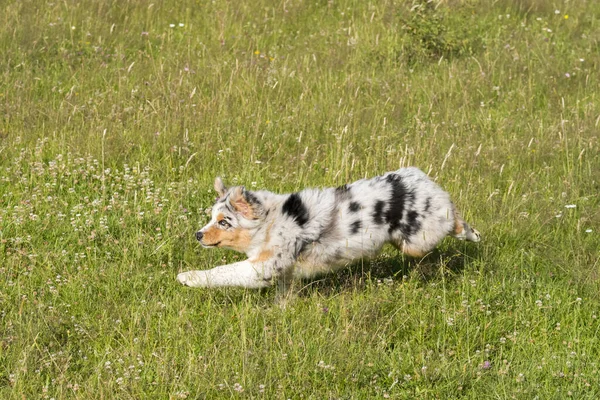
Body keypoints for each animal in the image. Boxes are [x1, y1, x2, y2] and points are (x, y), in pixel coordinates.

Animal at [176, 167, 480, 292]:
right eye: (211, 218)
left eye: (224, 222)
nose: (198, 235)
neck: (269, 221)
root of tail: (420, 178)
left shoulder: (264, 266)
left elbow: (223, 271)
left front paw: (188, 277)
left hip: (419, 239)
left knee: (454, 220)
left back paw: (472, 234)